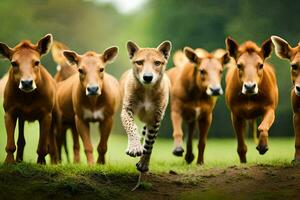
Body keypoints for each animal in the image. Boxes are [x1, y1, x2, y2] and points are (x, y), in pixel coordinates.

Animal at [0, 34, 56, 164]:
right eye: (14, 63)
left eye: (37, 62)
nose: (26, 82)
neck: (28, 98)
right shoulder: (9, 112)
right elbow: (11, 143)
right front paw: (9, 162)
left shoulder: (46, 114)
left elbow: (42, 145)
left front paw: (41, 163)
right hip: (21, 118)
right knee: (21, 140)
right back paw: (19, 159)